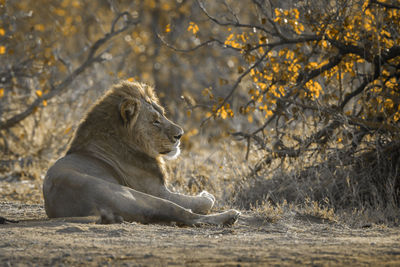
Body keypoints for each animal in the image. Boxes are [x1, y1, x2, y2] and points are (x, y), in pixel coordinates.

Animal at [42, 81, 239, 226]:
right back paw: (230, 216)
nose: (180, 135)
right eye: (155, 121)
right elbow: (205, 202)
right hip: (135, 195)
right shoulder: (158, 191)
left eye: (163, 114)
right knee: (187, 215)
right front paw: (206, 195)